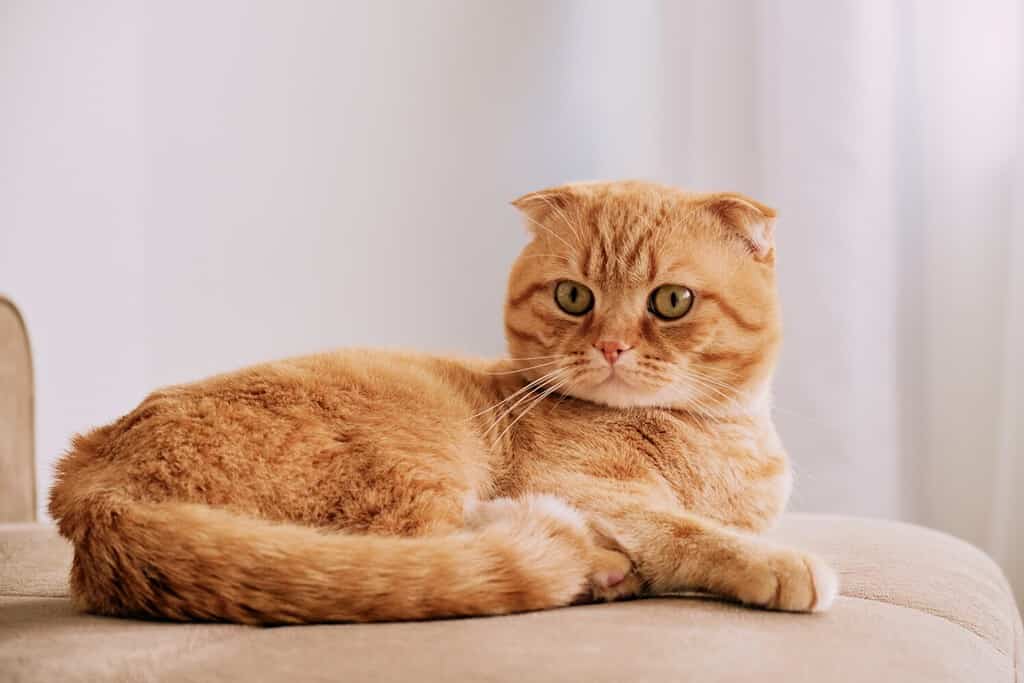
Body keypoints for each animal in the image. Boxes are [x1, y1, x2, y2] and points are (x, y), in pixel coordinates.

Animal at [48, 180, 835, 626]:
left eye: (670, 302)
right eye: (573, 296)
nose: (611, 347)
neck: (713, 436)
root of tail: (93, 483)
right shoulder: (581, 485)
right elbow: (682, 529)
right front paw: (778, 563)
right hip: (414, 463)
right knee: (427, 552)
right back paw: (596, 567)